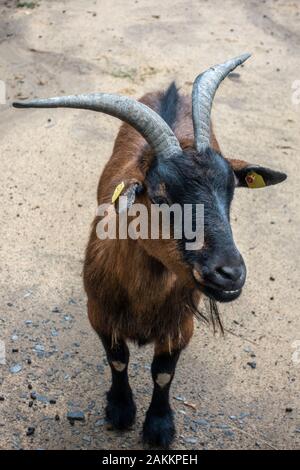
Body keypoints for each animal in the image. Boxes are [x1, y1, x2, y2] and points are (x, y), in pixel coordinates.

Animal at [12, 54, 288, 448]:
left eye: (231, 189)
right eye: (159, 195)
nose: (229, 273)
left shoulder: (181, 325)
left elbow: (163, 373)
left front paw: (158, 426)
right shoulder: (99, 313)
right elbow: (118, 360)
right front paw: (120, 410)